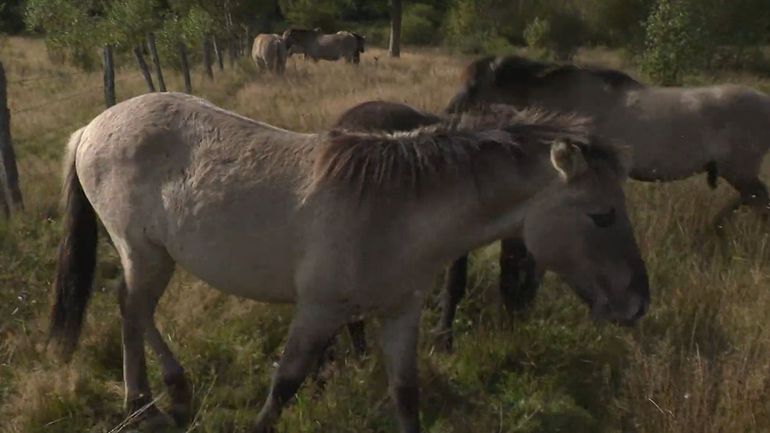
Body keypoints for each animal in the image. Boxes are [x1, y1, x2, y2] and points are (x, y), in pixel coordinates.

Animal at [50, 92, 648, 433]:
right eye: (601, 215)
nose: (637, 302)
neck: (396, 212)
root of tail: (91, 127)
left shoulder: (401, 314)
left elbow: (406, 396)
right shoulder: (318, 310)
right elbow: (284, 387)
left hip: (156, 255)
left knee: (136, 310)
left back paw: (172, 394)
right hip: (142, 251)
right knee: (131, 310)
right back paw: (144, 405)